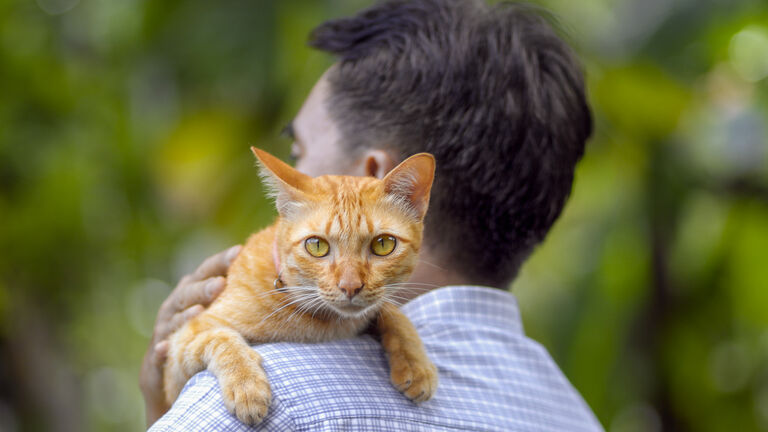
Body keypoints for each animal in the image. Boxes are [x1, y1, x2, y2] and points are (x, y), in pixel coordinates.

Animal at [162, 147, 438, 424]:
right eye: (317, 246)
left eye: (383, 244)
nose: (350, 286)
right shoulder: (179, 352)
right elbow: (220, 338)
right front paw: (246, 386)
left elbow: (392, 313)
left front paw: (415, 362)